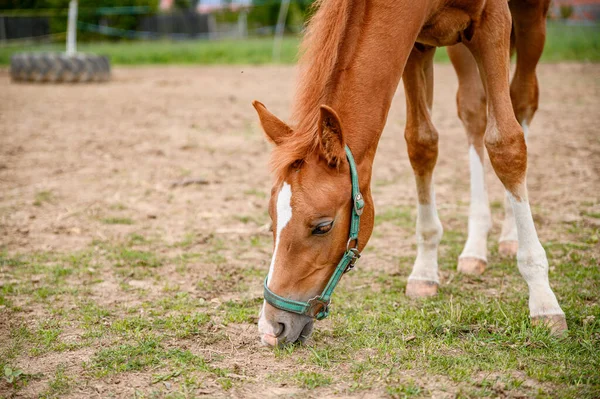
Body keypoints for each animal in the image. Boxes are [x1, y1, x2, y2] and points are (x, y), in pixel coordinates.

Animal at [253, 0, 568, 346]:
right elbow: (421, 143)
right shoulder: (417, 44)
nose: (271, 328)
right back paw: (475, 248)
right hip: (460, 47)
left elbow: (507, 145)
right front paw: (425, 271)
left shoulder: (494, 22)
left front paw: (544, 300)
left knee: (522, 102)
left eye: (322, 226)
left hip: (530, 20)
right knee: (474, 112)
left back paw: (511, 236)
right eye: (271, 221)